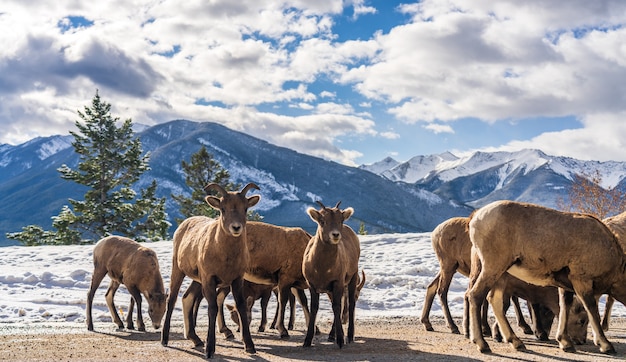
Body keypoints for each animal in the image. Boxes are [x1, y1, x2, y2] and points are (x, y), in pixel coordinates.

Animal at [161, 182, 260, 358]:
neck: (226, 255)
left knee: (187, 298)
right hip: (178, 271)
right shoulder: (209, 279)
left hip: (197, 280)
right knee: (171, 300)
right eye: (223, 209)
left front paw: (249, 347)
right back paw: (165, 340)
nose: (236, 227)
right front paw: (210, 350)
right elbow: (212, 308)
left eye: (245, 208)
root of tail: (183, 225)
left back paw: (196, 340)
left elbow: (241, 306)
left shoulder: (237, 279)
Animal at [302, 201, 360, 348]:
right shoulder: (312, 285)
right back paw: (331, 336)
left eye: (340, 220)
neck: (323, 268)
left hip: (352, 278)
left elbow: (337, 307)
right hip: (331, 290)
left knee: (350, 304)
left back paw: (349, 336)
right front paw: (307, 341)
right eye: (322, 221)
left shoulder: (337, 282)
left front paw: (340, 341)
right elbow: (314, 308)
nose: (335, 235)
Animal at [466, 201, 620, 354]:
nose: (581, 341)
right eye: (582, 321)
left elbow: (563, 305)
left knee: (493, 300)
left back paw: (515, 342)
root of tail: (476, 217)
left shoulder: (564, 287)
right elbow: (591, 308)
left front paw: (564, 343)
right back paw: (482, 344)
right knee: (476, 296)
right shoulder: (582, 281)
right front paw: (605, 345)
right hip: (493, 268)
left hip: (499, 274)